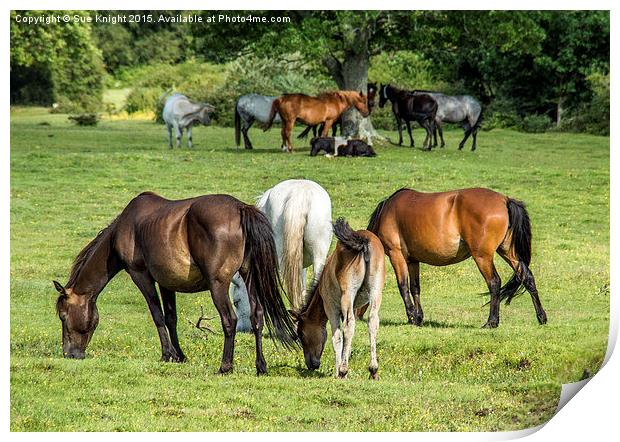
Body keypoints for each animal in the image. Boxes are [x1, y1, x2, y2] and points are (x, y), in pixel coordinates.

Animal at [52, 192, 296, 374]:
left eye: (63, 316)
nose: (69, 354)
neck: (125, 228)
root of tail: (240, 208)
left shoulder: (141, 275)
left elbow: (157, 315)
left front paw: (166, 354)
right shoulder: (166, 282)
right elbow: (171, 318)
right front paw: (179, 355)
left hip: (218, 284)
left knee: (230, 320)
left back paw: (225, 366)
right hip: (249, 276)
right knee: (257, 316)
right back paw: (260, 366)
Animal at [292, 219, 388, 378]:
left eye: (302, 335)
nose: (311, 365)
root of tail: (363, 241)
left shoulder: (331, 308)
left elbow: (337, 337)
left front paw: (339, 371)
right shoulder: (353, 307)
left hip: (347, 293)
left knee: (349, 325)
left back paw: (343, 371)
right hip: (376, 292)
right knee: (373, 321)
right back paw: (373, 370)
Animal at [360, 186, 548, 328]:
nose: (358, 316)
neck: (388, 211)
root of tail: (505, 200)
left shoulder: (396, 255)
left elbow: (403, 287)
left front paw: (411, 317)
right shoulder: (413, 260)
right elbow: (415, 288)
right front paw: (419, 318)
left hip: (482, 256)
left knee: (494, 282)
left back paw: (491, 322)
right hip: (509, 252)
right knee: (528, 277)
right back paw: (541, 317)